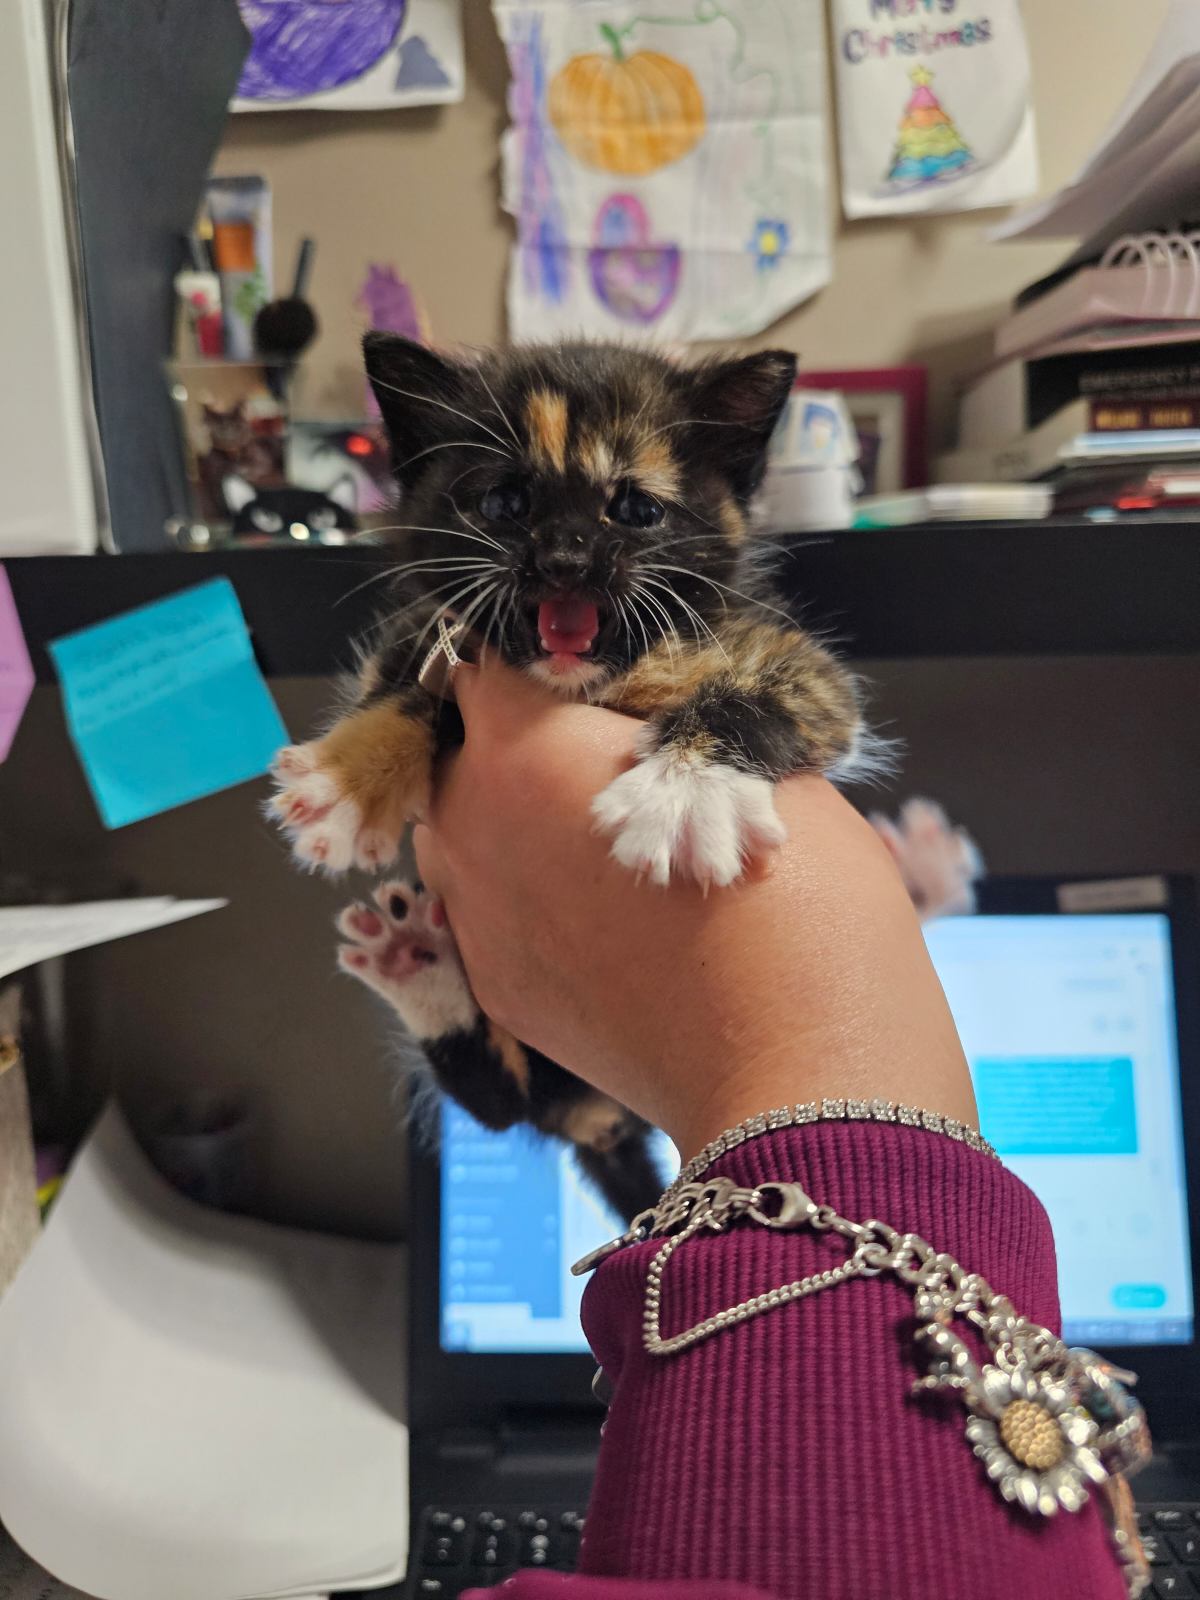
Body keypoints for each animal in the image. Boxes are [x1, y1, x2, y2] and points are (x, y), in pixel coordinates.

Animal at [275, 334, 883, 1209]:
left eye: (633, 509)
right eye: (505, 502)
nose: (564, 560)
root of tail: (605, 1118)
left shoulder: (805, 671)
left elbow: (765, 696)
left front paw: (686, 793)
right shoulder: (438, 633)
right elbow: (409, 671)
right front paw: (350, 781)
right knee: (502, 1101)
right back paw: (417, 967)